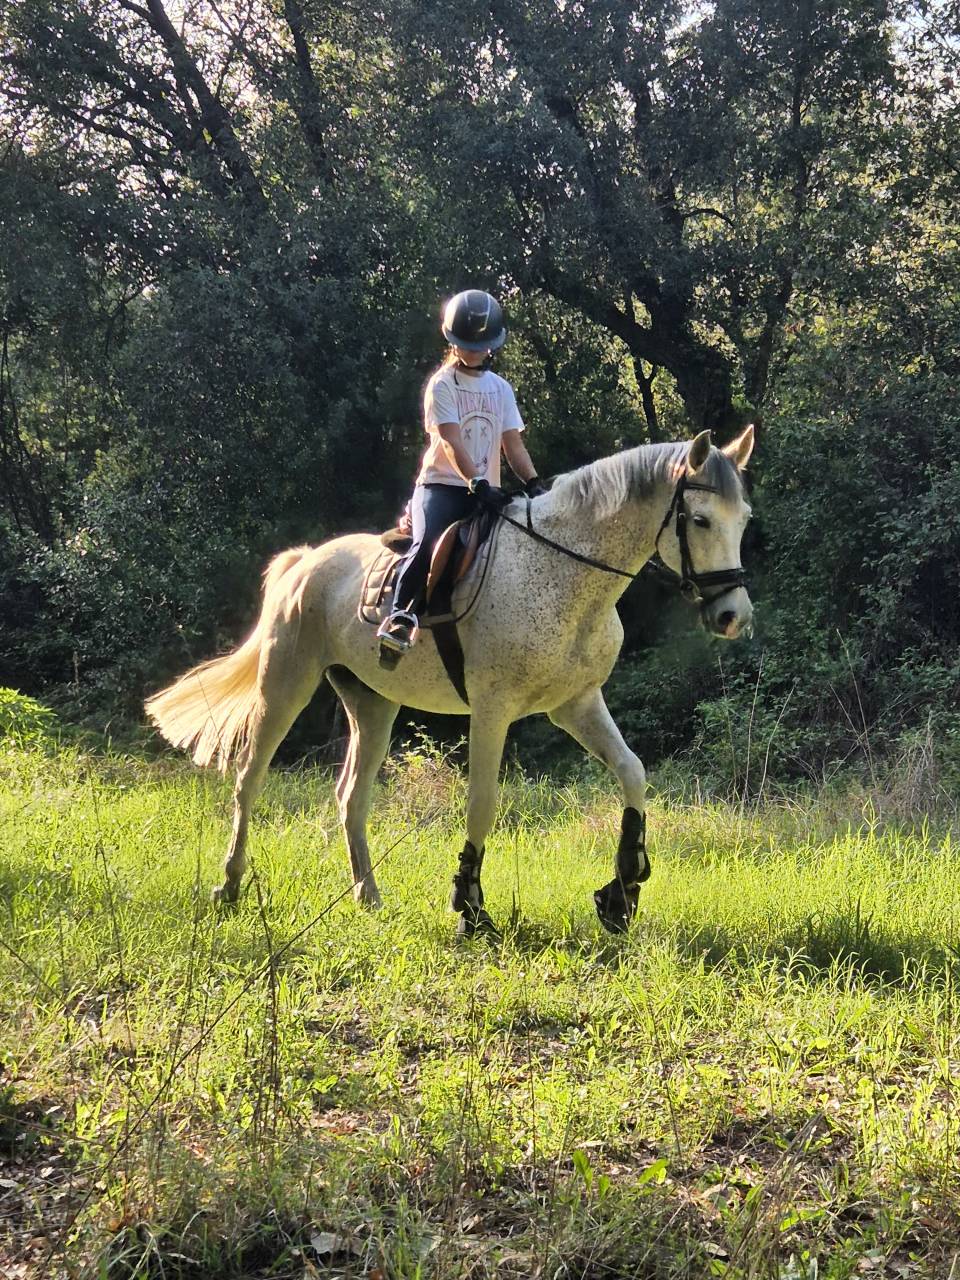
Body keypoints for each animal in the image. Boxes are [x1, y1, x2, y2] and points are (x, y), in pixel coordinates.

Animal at [145, 426, 755, 935]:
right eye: (701, 520)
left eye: (744, 518)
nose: (733, 617)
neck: (566, 571)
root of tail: (307, 560)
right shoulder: (493, 709)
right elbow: (482, 801)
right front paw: (470, 905)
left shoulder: (576, 704)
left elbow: (633, 773)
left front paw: (622, 891)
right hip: (286, 685)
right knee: (249, 778)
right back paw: (229, 886)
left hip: (372, 704)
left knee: (351, 796)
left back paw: (369, 896)